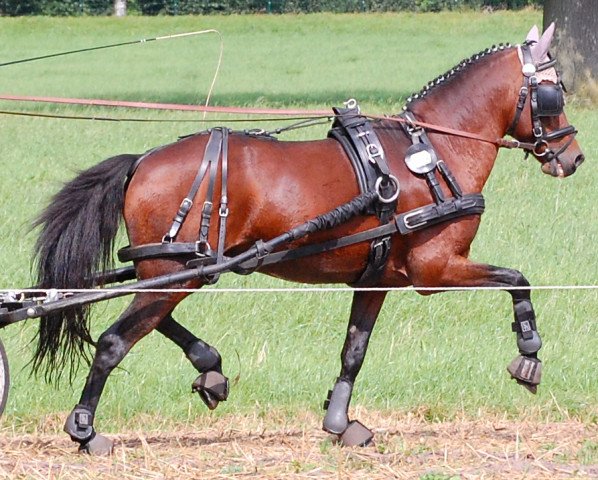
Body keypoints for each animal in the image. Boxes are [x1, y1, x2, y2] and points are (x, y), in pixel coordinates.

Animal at [29, 25, 584, 454]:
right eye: (553, 92)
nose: (574, 157)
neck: (433, 150)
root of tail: (142, 161)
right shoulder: (436, 268)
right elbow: (517, 278)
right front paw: (529, 354)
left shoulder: (376, 280)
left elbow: (354, 351)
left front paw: (341, 423)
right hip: (175, 273)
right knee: (114, 340)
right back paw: (85, 430)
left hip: (177, 269)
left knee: (147, 319)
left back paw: (209, 368)